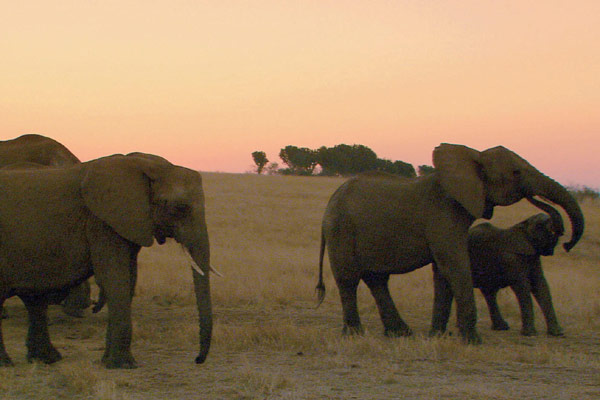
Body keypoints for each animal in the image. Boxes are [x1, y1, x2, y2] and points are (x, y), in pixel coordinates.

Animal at [316, 144, 584, 344]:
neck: (472, 157)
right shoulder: (443, 214)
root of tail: (329, 203)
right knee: (349, 279)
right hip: (341, 229)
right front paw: (472, 341)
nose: (566, 243)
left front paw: (438, 335)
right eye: (516, 172)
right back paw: (355, 334)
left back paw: (400, 333)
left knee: (377, 279)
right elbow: (454, 264)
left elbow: (443, 271)